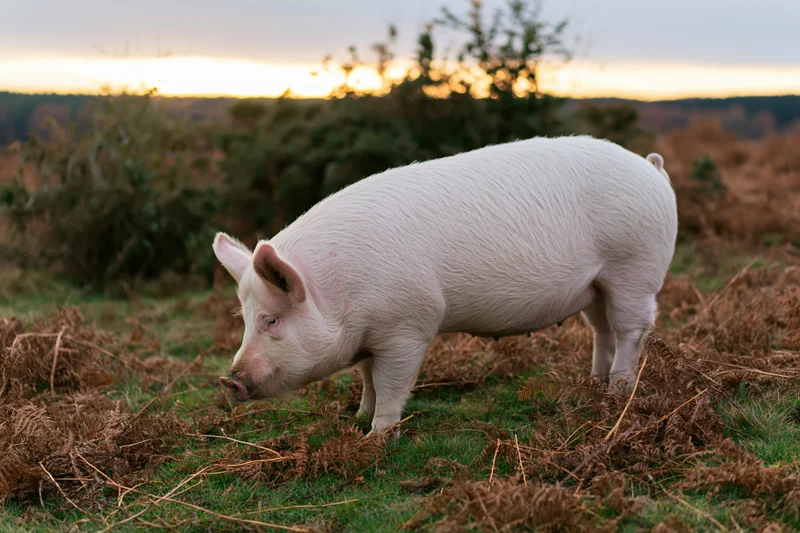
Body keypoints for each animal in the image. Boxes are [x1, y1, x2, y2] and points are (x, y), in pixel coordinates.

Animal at [214, 135, 678, 436]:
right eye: (245, 318)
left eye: (272, 320)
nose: (229, 381)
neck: (338, 292)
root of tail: (652, 169)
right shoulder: (371, 335)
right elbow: (366, 377)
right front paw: (359, 417)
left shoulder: (407, 327)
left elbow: (390, 384)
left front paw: (375, 436)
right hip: (596, 284)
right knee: (602, 329)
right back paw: (595, 384)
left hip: (634, 267)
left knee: (631, 329)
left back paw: (618, 392)